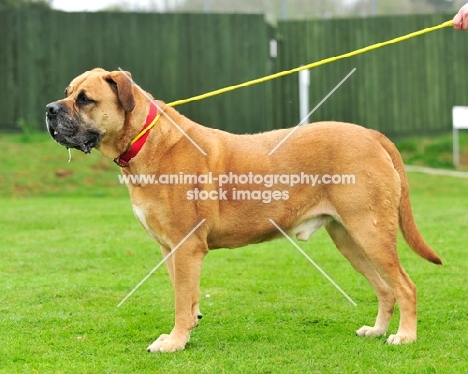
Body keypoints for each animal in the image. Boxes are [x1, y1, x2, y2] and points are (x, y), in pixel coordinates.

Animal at [45, 68, 440, 352]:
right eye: (67, 92)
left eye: (85, 99)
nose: (49, 110)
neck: (145, 140)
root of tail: (372, 134)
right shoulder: (169, 248)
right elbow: (184, 298)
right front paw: (182, 333)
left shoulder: (186, 247)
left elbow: (181, 300)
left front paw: (175, 342)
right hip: (350, 239)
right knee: (386, 289)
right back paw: (378, 330)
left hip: (371, 233)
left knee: (406, 287)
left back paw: (405, 336)